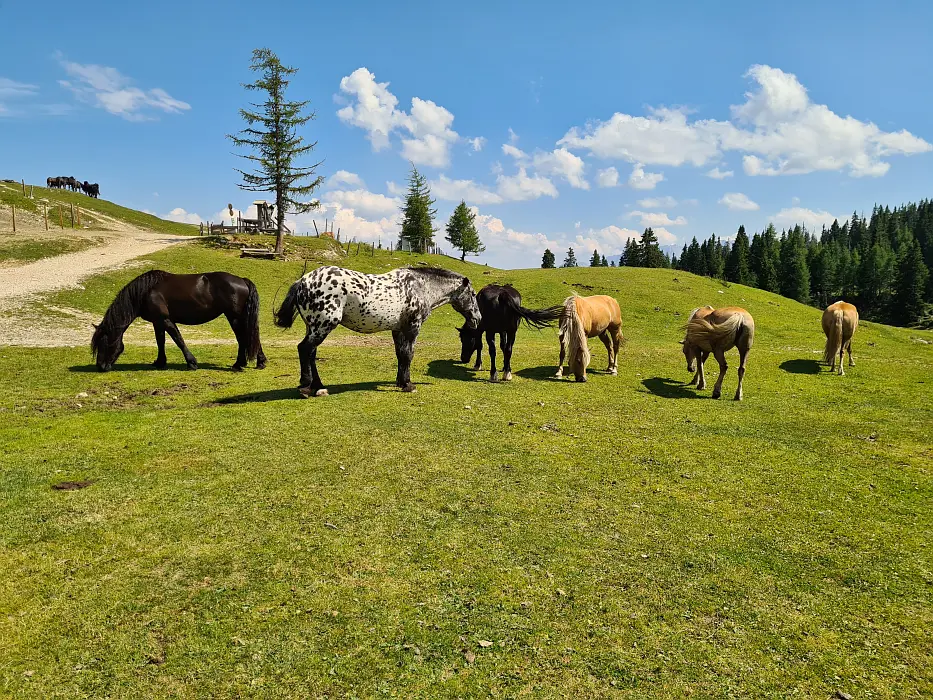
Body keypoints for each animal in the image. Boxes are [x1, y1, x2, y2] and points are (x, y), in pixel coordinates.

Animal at [90, 270, 266, 374]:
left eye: (104, 343)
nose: (100, 366)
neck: (146, 291)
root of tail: (242, 280)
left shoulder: (165, 320)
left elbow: (178, 340)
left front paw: (192, 363)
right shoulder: (157, 322)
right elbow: (160, 341)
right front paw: (160, 362)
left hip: (234, 317)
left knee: (243, 337)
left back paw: (239, 364)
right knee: (252, 336)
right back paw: (260, 361)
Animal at [274, 264, 480, 396]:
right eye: (472, 294)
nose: (477, 319)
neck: (420, 286)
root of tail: (302, 281)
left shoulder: (398, 330)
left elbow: (401, 355)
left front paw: (400, 382)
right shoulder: (412, 328)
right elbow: (409, 355)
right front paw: (408, 385)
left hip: (314, 327)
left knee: (311, 353)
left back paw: (319, 387)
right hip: (323, 325)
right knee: (304, 349)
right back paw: (306, 387)